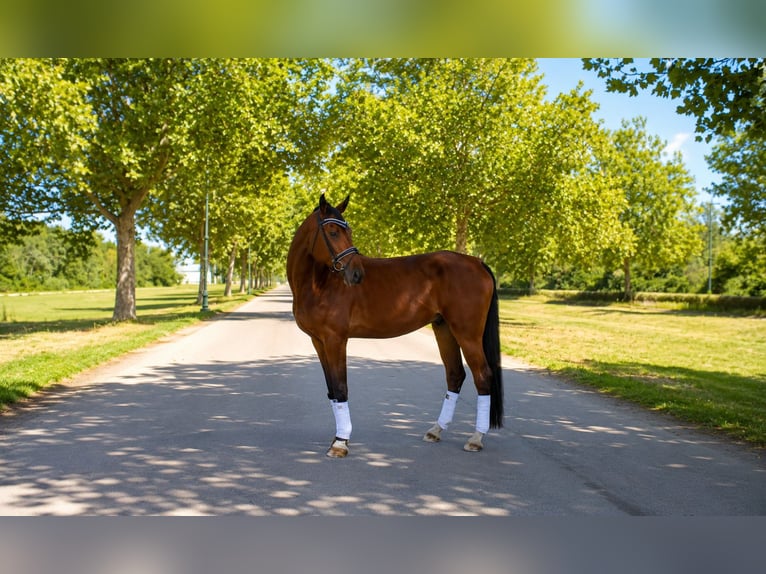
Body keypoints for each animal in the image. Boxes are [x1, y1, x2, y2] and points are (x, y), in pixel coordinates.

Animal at [286, 194, 503, 458]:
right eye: (333, 231)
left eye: (348, 231)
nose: (356, 274)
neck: (319, 284)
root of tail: (477, 262)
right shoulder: (318, 341)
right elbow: (331, 390)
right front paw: (337, 438)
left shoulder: (335, 339)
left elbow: (340, 387)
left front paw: (341, 442)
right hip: (445, 329)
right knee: (455, 375)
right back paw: (436, 431)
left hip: (468, 334)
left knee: (482, 376)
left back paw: (476, 438)